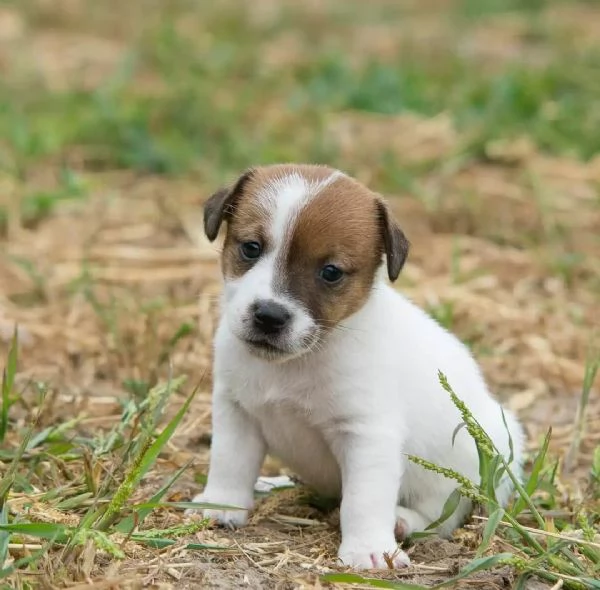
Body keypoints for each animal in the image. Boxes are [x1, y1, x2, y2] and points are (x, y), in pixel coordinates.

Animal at [189, 164, 524, 572]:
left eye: (331, 272)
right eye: (251, 248)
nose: (269, 315)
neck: (296, 364)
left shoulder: (367, 436)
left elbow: (364, 502)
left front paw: (368, 549)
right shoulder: (236, 411)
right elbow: (229, 464)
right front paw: (220, 505)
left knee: (441, 514)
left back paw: (403, 521)